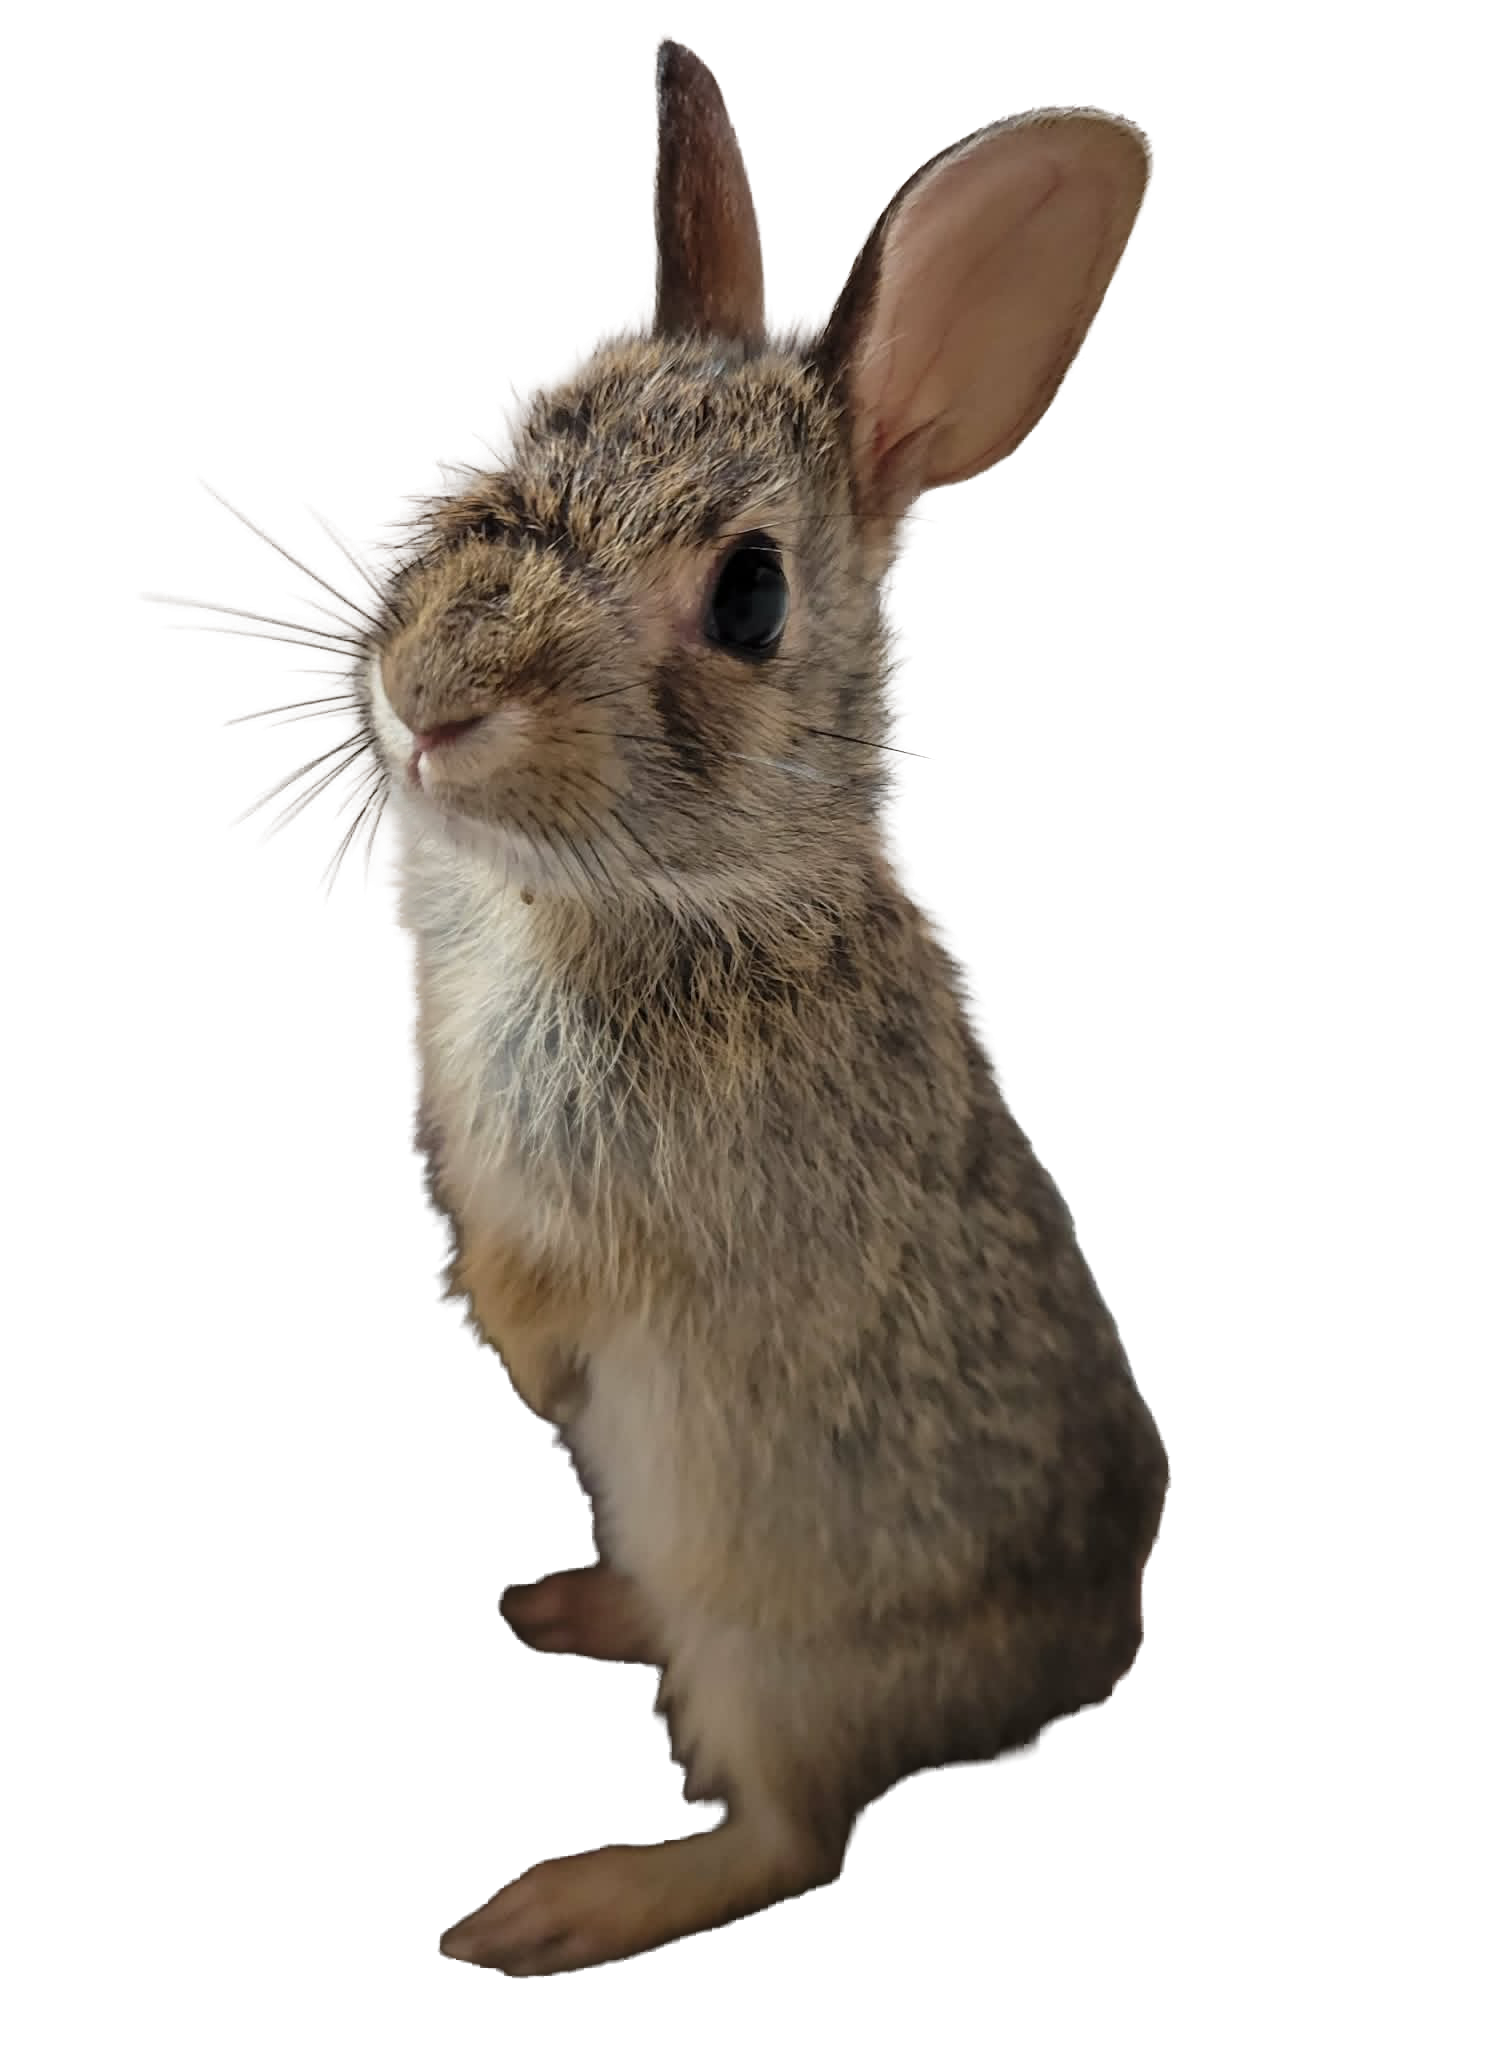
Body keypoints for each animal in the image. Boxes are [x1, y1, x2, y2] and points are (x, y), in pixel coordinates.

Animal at [144, 34, 1167, 1980]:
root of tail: (1070, 1678)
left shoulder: (626, 1212)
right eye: (515, 433)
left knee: (790, 1839)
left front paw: (537, 1368)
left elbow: (566, 1293)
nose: (429, 699)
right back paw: (576, 1604)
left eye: (751, 594)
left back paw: (562, 1904)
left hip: (779, 1649)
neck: (641, 897)